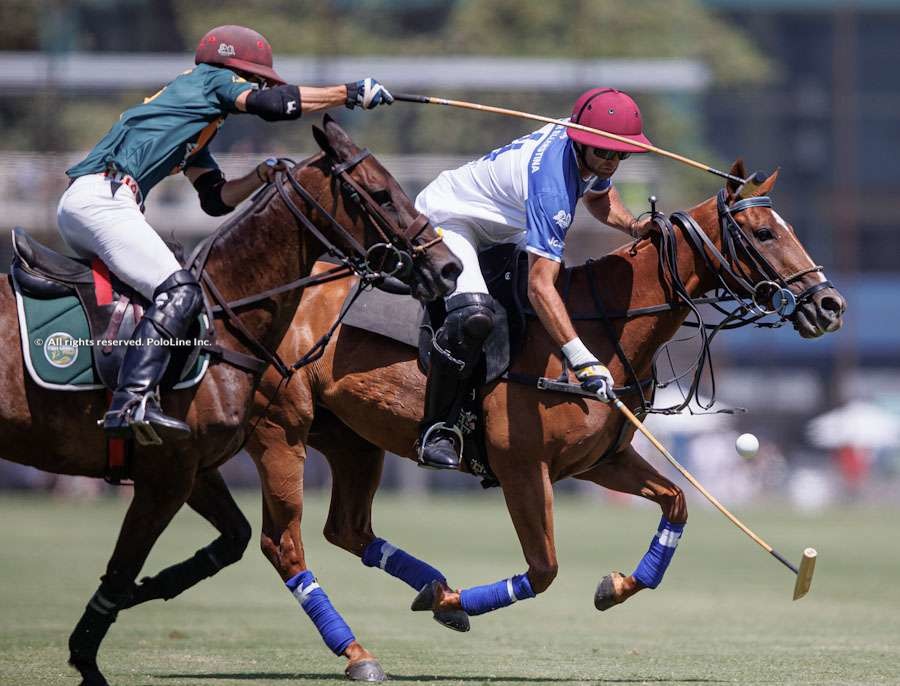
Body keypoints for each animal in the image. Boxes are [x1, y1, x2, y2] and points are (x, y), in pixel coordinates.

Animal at [0, 118, 460, 686]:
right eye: (378, 193)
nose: (448, 267)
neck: (225, 315)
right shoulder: (167, 473)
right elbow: (126, 566)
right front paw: (87, 657)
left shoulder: (191, 467)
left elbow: (232, 539)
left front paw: (148, 590)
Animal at [248, 161, 852, 684]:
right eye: (763, 233)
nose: (830, 305)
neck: (600, 325)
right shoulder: (522, 466)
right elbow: (543, 569)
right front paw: (452, 603)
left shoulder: (599, 460)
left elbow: (677, 500)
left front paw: (615, 586)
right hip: (282, 430)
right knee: (284, 544)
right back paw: (362, 650)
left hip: (351, 439)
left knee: (347, 529)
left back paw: (425, 591)